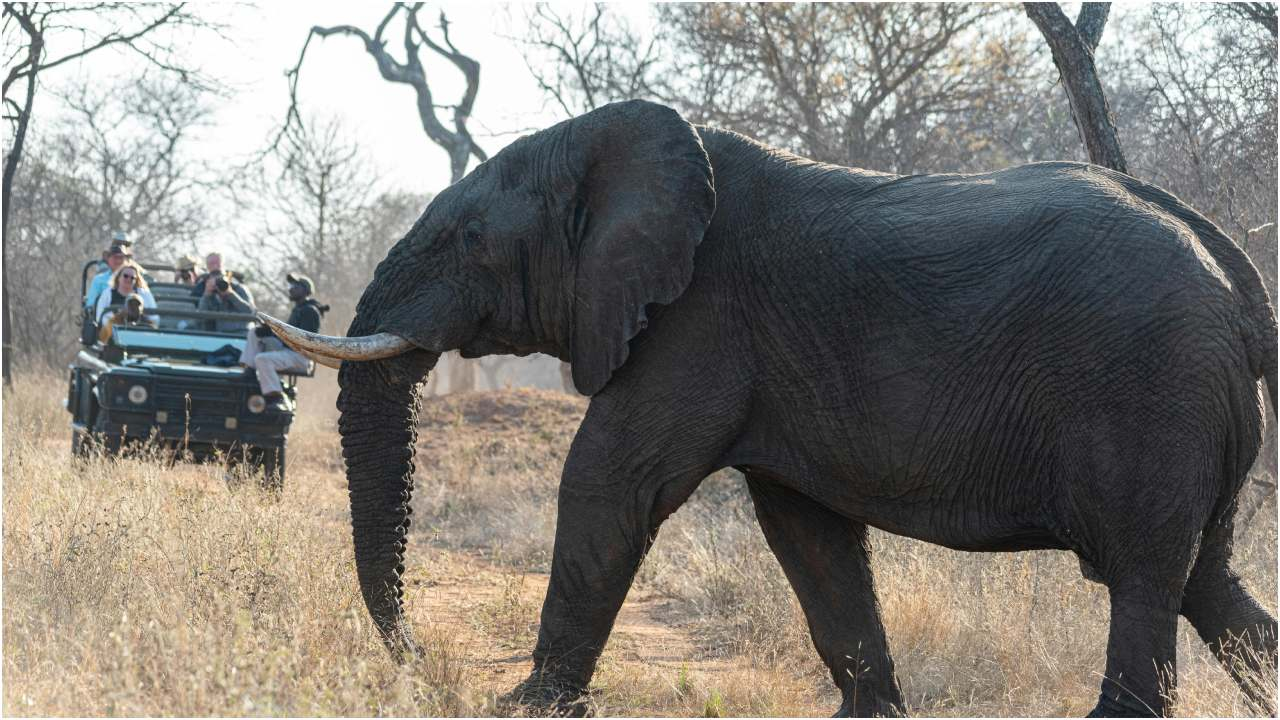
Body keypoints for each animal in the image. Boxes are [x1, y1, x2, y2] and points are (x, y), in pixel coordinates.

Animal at [260, 99, 1278, 717]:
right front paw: (872, 713)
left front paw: (528, 706)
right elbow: (808, 534)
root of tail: (1233, 271)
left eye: (470, 239)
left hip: (1153, 391)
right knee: (1204, 579)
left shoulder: (695, 320)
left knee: (1144, 573)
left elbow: (608, 483)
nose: (415, 656)